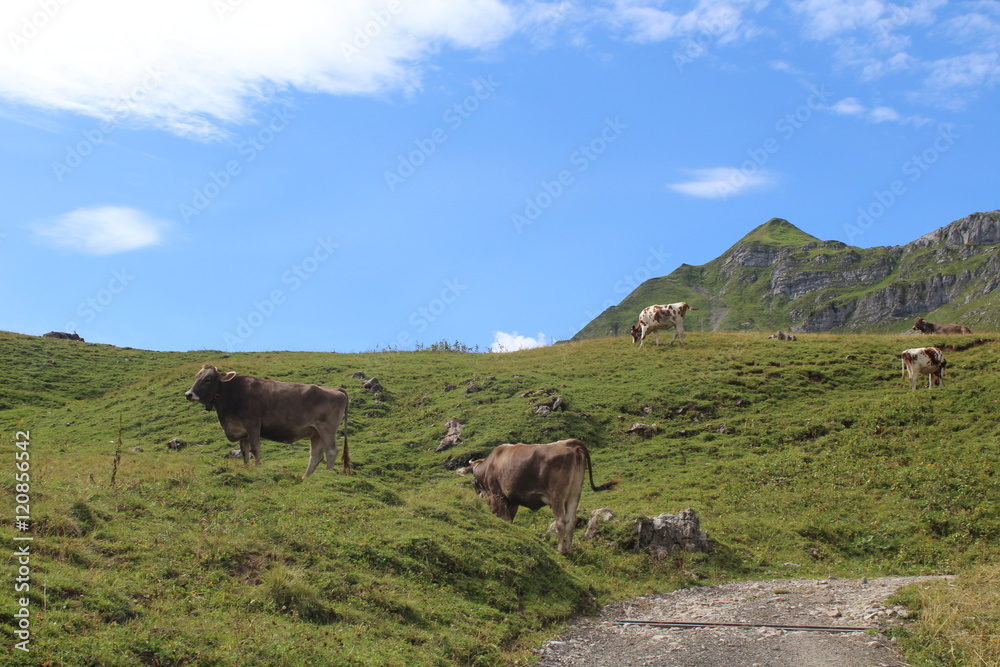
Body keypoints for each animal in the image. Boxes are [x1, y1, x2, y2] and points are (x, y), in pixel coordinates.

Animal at [184, 364, 349, 478]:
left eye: (207, 379)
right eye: (195, 377)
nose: (188, 394)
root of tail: (336, 388)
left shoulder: (253, 425)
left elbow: (255, 449)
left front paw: (258, 468)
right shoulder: (242, 432)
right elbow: (244, 453)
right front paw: (247, 469)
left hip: (327, 429)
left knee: (331, 451)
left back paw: (328, 475)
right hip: (315, 432)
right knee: (315, 455)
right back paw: (305, 478)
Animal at [462, 439, 617, 555]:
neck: (489, 466)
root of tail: (570, 443)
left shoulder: (497, 495)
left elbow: (504, 518)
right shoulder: (513, 500)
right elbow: (510, 519)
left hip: (557, 496)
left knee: (561, 521)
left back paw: (560, 550)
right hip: (574, 494)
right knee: (571, 520)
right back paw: (568, 549)